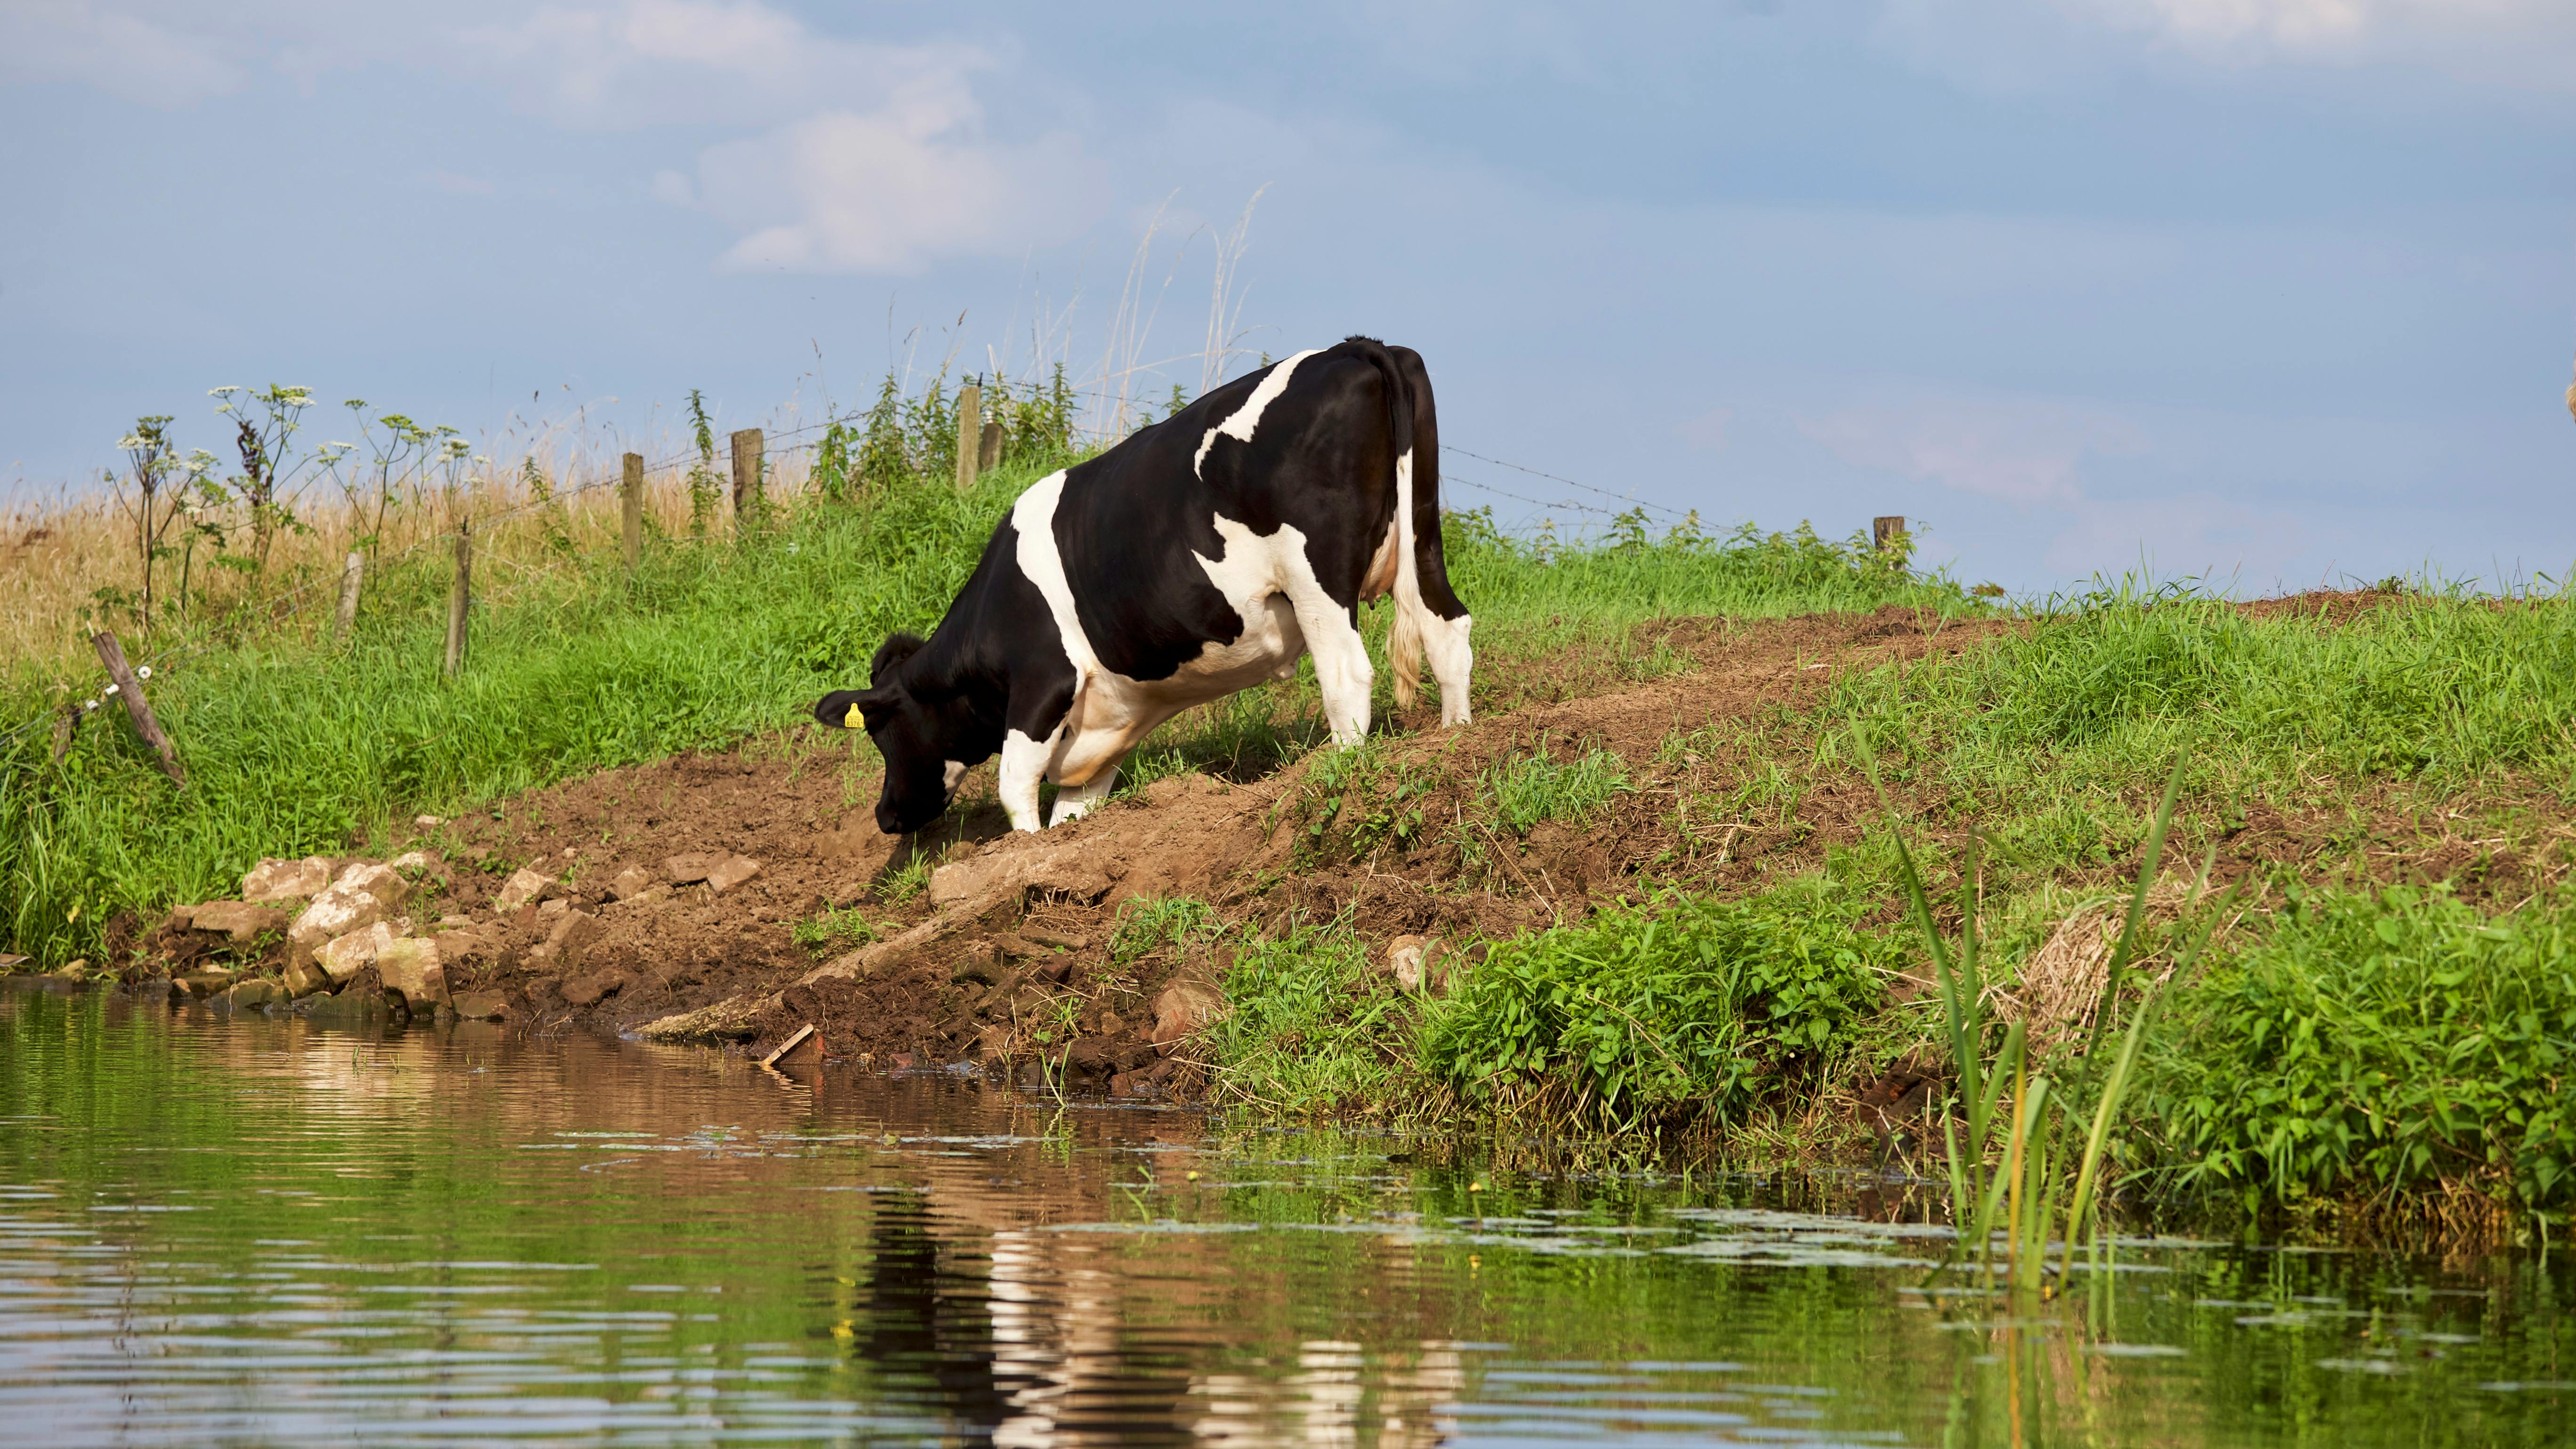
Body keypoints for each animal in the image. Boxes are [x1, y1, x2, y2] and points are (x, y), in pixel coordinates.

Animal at [813, 336, 1474, 836]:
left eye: (883, 732)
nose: (886, 816)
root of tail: (1352, 346)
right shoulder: (1104, 720)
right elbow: (1073, 809)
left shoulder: (1043, 680)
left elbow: (1015, 789)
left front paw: (1019, 858)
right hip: (1423, 535)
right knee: (1448, 630)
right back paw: (1456, 736)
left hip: (1316, 578)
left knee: (1346, 674)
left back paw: (1338, 771)